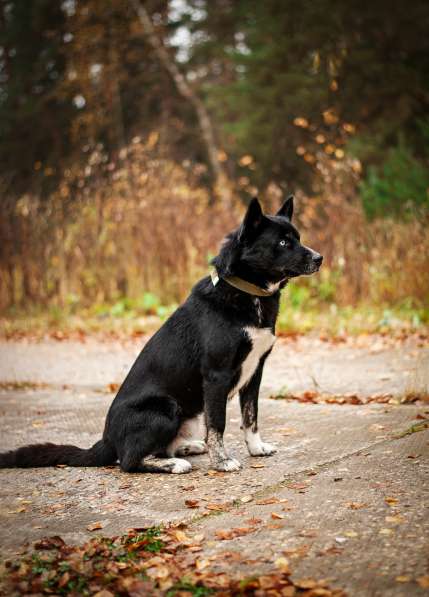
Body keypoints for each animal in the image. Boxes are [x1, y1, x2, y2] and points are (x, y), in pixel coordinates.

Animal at [0, 196, 320, 474]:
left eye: (298, 237)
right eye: (283, 242)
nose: (320, 258)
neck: (246, 292)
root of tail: (107, 440)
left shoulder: (255, 371)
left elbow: (250, 416)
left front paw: (255, 448)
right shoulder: (216, 375)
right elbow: (218, 424)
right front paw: (222, 462)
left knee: (158, 448)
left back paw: (187, 448)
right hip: (167, 407)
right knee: (128, 461)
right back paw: (173, 464)